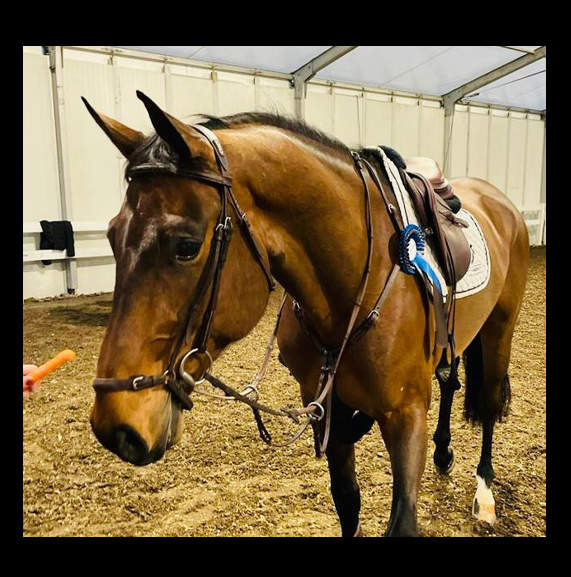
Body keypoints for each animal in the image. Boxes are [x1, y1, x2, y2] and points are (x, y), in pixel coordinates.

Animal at [84, 91, 529, 537]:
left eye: (187, 246)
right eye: (112, 235)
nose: (114, 427)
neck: (353, 287)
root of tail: (499, 200)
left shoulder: (406, 415)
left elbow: (401, 519)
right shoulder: (326, 410)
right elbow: (347, 501)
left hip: (500, 328)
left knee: (489, 400)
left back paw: (484, 491)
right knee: (451, 381)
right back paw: (443, 453)